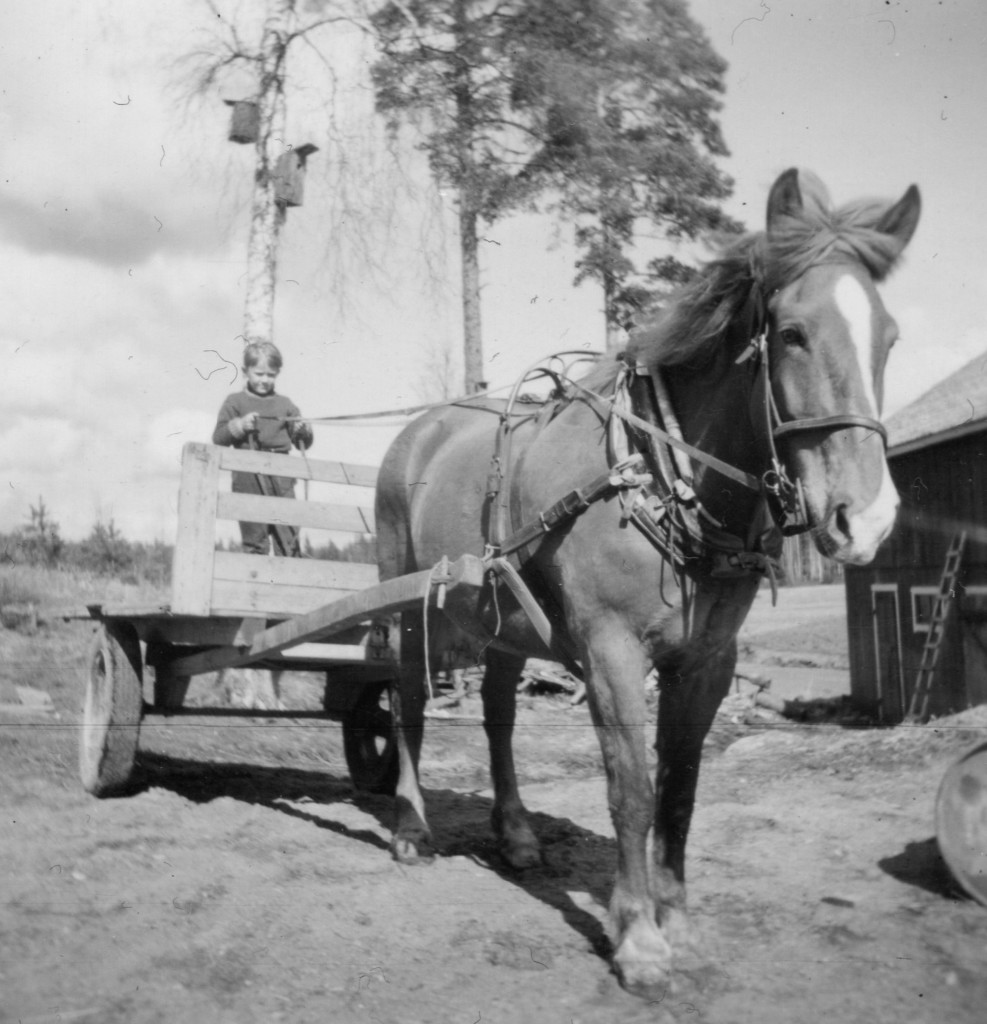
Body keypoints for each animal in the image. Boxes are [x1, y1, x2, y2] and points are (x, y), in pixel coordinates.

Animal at [374, 167, 921, 991]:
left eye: (887, 338)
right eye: (793, 333)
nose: (870, 520)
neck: (658, 475)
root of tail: (418, 431)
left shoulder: (707, 662)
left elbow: (681, 789)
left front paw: (677, 921)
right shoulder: (611, 653)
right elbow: (630, 788)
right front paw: (636, 936)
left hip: (502, 619)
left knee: (498, 713)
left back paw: (517, 832)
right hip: (410, 605)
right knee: (406, 701)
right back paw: (410, 825)